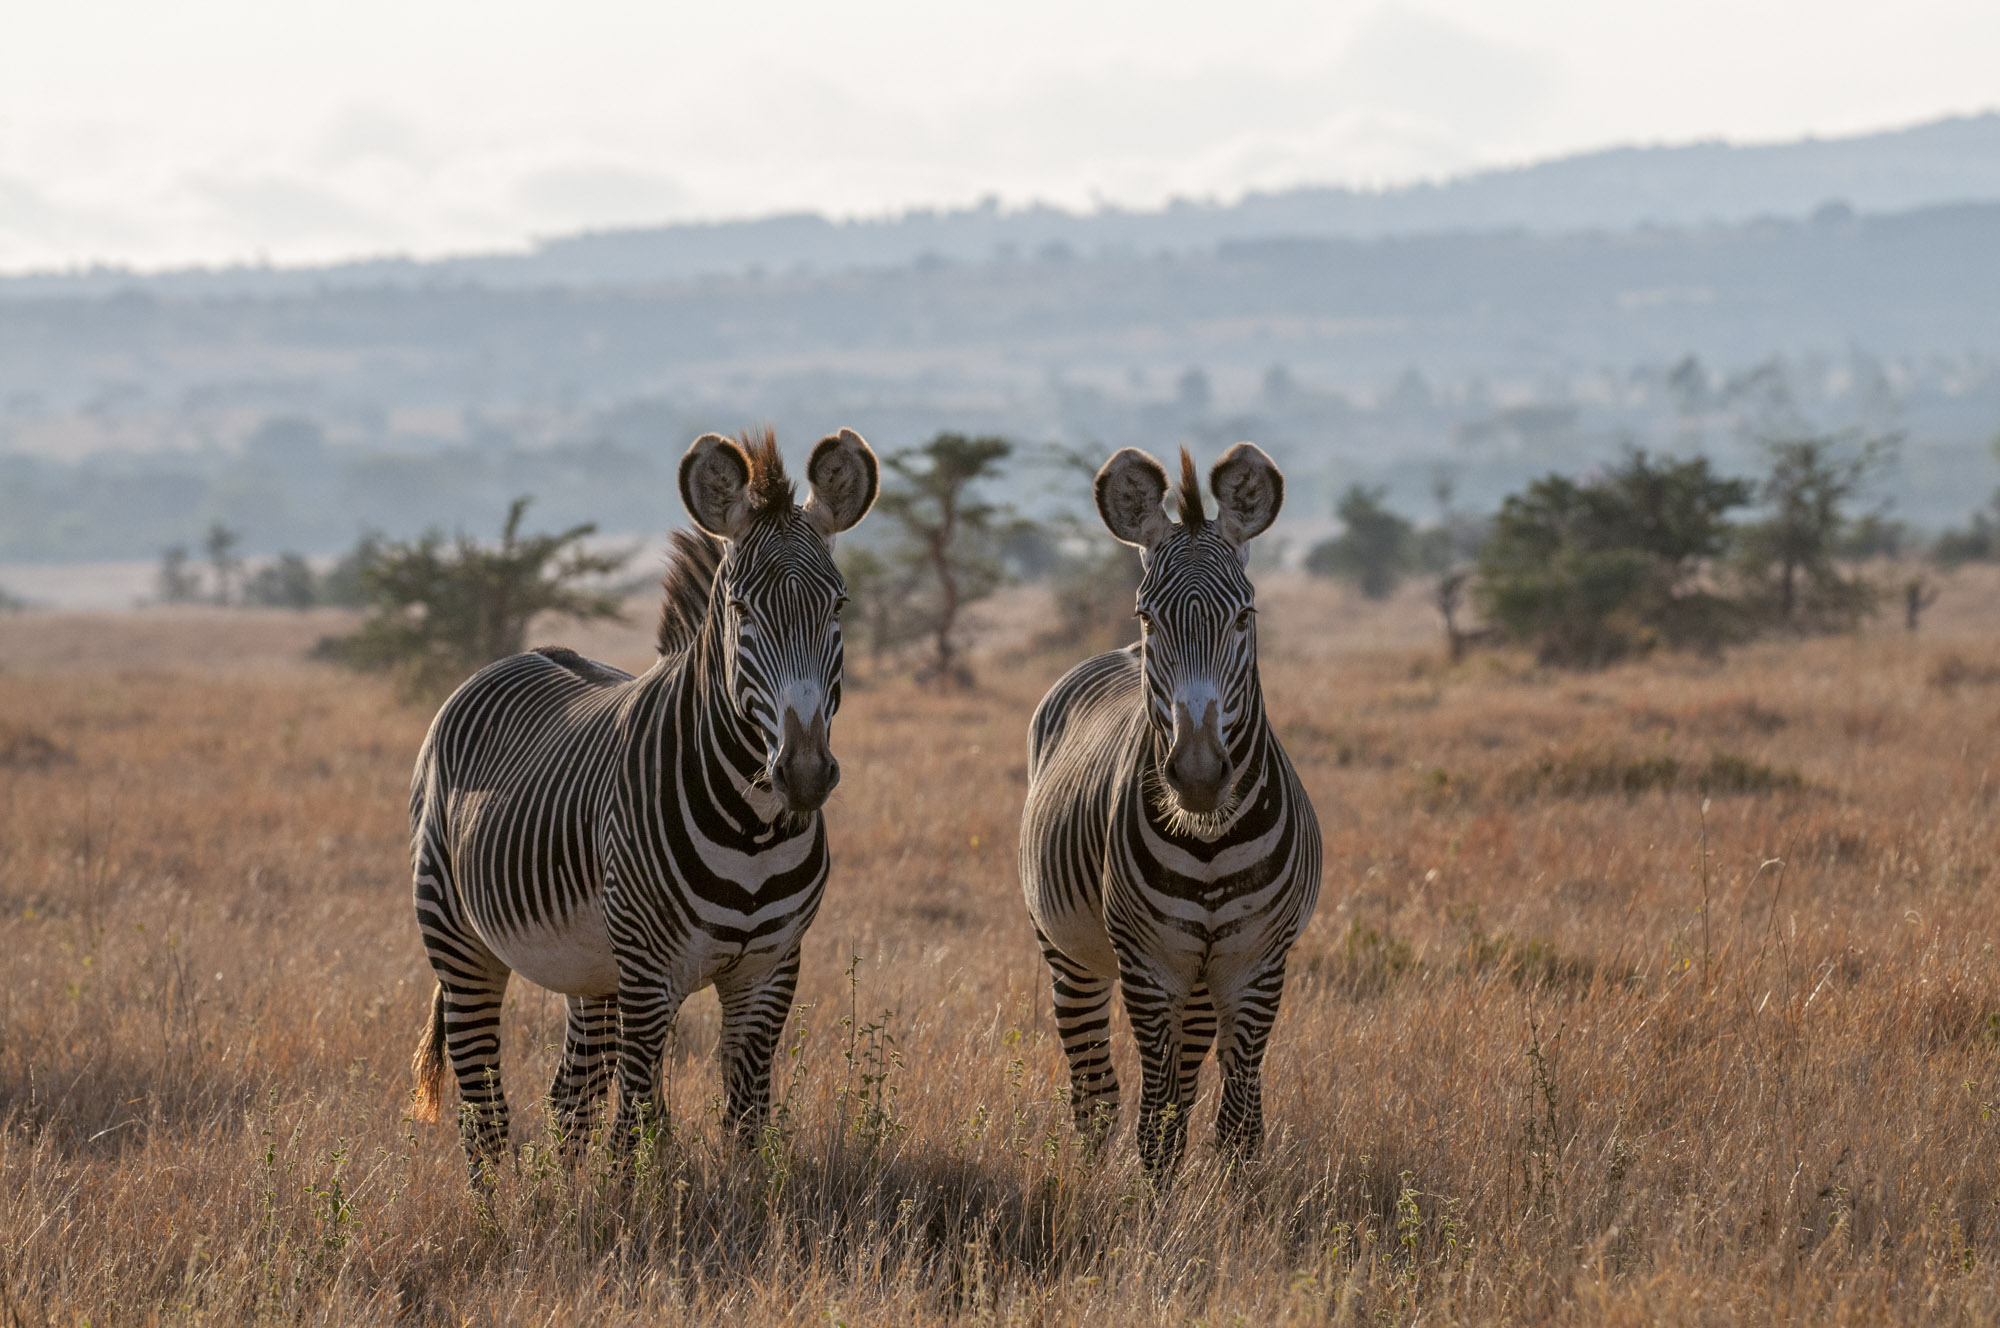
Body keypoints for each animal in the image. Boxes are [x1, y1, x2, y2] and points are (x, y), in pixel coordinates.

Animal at [404, 430, 876, 1176]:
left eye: (838, 606)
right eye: (741, 611)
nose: (802, 774)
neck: (753, 831)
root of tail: (521, 655)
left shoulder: (770, 971)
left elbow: (746, 1122)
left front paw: (748, 1199)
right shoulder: (652, 973)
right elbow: (638, 1128)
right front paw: (635, 1203)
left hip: (592, 970)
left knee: (567, 1099)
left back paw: (560, 1197)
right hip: (457, 936)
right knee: (486, 1111)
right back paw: (499, 1202)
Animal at [1024, 444, 1320, 1184]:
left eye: (1245, 616)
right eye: (1147, 617)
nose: (1200, 775)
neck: (1209, 842)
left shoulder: (1256, 963)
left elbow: (1238, 1123)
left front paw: (1239, 1210)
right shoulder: (1147, 964)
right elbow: (1153, 1123)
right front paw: (1155, 1212)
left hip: (1201, 977)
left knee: (1180, 1085)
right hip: (1070, 954)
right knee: (1095, 1093)